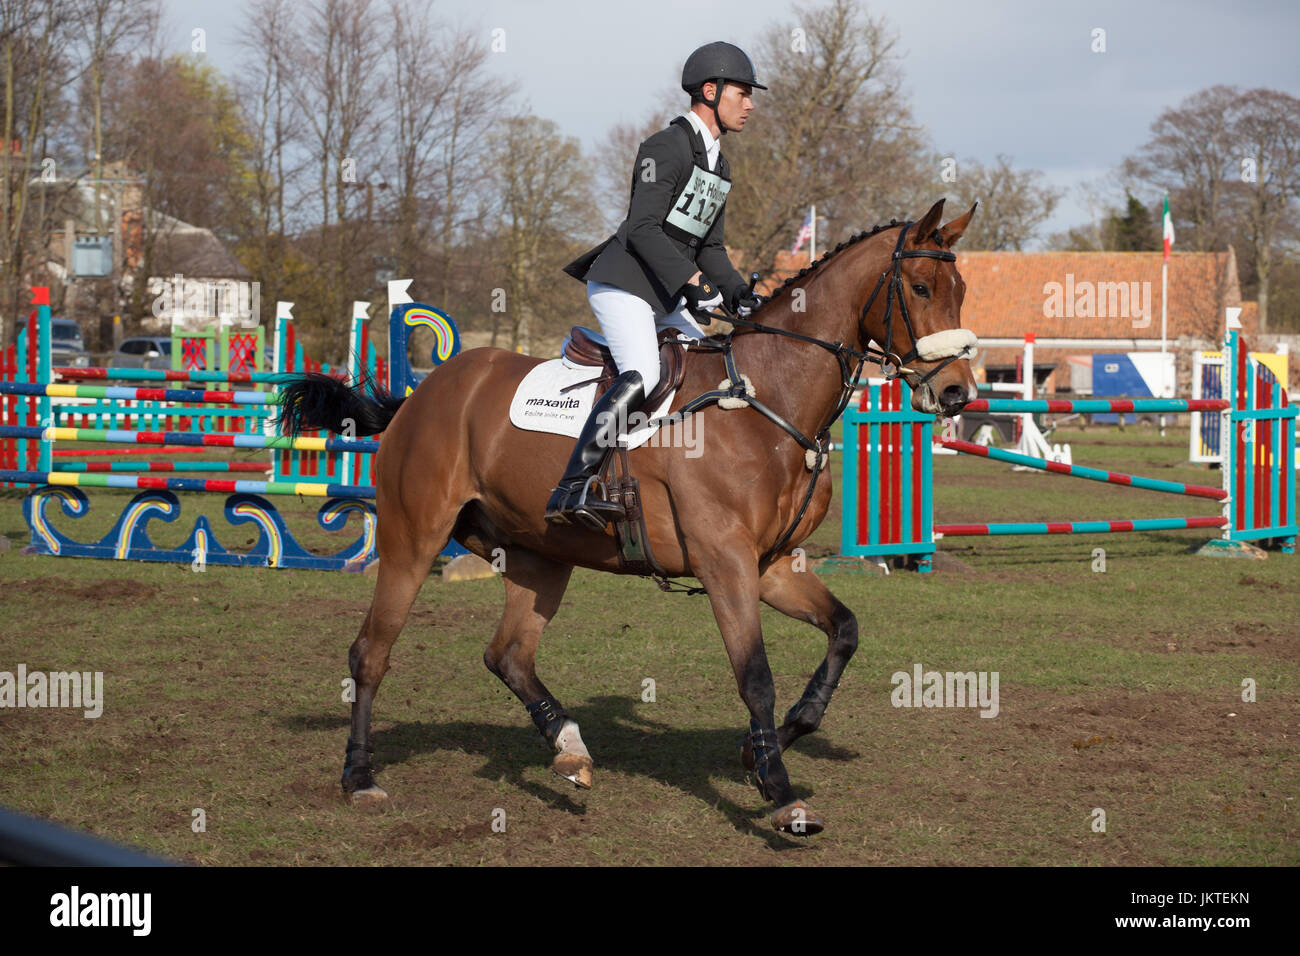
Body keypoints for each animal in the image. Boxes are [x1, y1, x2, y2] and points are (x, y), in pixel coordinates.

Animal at [282, 197, 977, 832]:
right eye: (920, 287)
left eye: (962, 290)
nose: (957, 393)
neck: (766, 399)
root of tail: (423, 393)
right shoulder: (725, 564)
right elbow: (754, 676)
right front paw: (781, 794)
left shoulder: (773, 565)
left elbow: (844, 631)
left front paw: (763, 751)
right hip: (413, 539)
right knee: (371, 652)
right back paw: (360, 777)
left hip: (538, 557)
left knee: (508, 655)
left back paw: (569, 749)